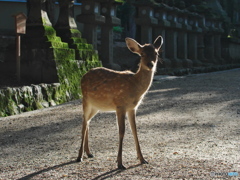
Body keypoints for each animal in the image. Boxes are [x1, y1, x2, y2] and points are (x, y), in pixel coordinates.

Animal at [77, 35, 163, 169]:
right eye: (142, 54)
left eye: (156, 53)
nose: (150, 64)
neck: (134, 85)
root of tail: (83, 76)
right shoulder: (120, 105)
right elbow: (121, 131)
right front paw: (120, 163)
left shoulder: (132, 108)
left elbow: (134, 130)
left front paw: (142, 159)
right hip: (85, 100)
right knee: (84, 123)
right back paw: (79, 156)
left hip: (96, 106)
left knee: (87, 122)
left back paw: (89, 153)